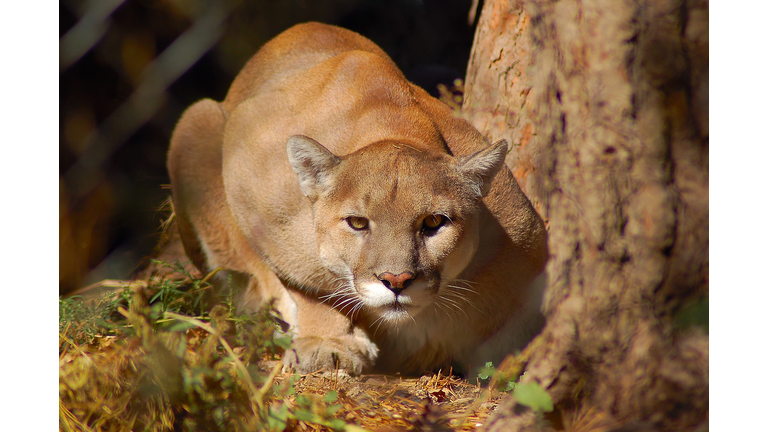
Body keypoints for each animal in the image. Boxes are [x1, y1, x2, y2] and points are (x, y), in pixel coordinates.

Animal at [170, 22, 544, 376]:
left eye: (434, 222)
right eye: (357, 223)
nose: (397, 281)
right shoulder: (251, 183)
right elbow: (309, 283)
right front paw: (329, 344)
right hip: (197, 121)